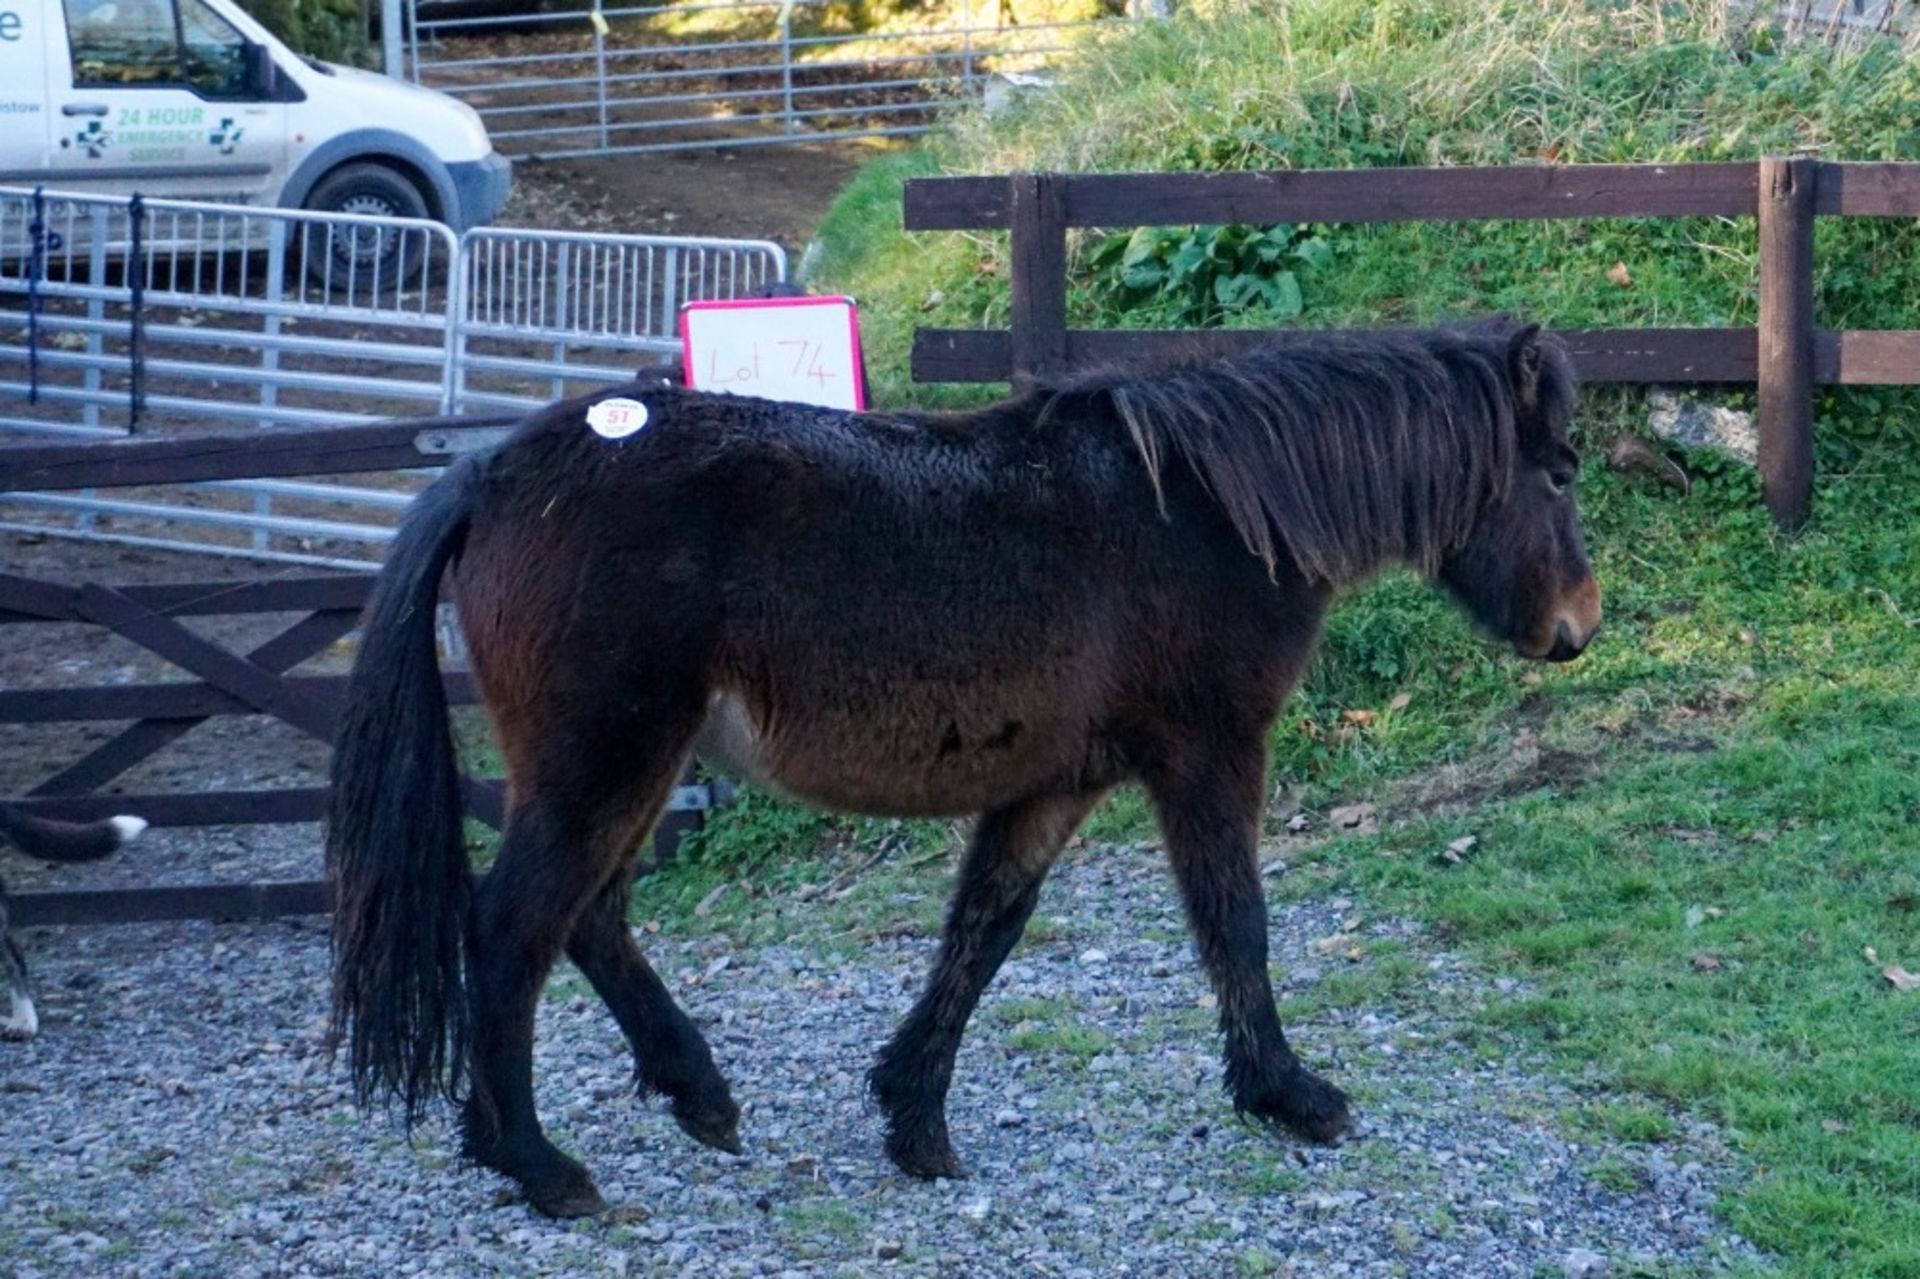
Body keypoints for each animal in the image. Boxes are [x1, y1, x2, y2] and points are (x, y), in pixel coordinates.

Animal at [322, 318, 1597, 1213]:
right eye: (1562, 470)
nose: (1579, 626)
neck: (1209, 512)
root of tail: (493, 475)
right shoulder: (1209, 753)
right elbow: (1236, 923)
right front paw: (1290, 1095)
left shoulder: (1057, 780)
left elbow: (984, 931)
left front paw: (914, 1119)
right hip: (605, 763)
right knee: (512, 931)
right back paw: (537, 1165)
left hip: (634, 766)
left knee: (589, 922)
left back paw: (696, 1096)